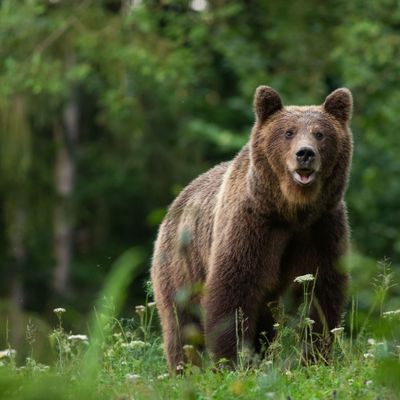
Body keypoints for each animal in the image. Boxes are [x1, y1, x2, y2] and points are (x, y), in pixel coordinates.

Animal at [151, 85, 354, 372]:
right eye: (288, 132)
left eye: (320, 133)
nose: (305, 153)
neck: (291, 210)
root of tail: (177, 200)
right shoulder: (253, 226)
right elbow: (233, 291)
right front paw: (231, 361)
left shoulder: (321, 228)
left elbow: (322, 293)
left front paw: (315, 358)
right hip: (181, 264)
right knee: (181, 323)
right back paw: (185, 369)